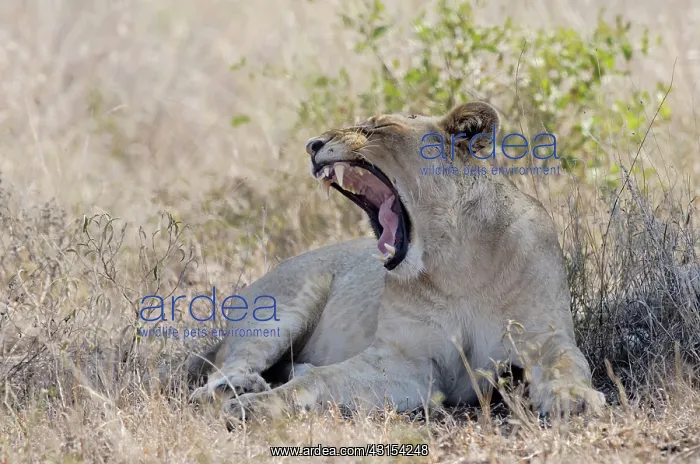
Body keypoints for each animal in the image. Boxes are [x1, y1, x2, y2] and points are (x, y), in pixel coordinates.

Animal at [189, 101, 606, 421]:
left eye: (377, 128)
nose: (311, 145)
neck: (456, 263)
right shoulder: (406, 362)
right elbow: (319, 380)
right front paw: (255, 405)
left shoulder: (545, 337)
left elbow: (570, 363)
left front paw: (576, 399)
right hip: (282, 309)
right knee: (225, 367)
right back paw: (234, 388)